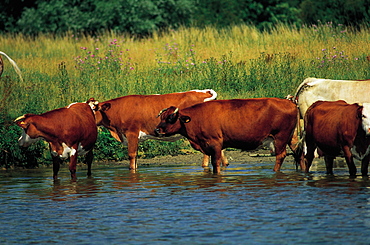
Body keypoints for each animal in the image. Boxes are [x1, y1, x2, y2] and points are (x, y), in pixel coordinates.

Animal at [155, 97, 302, 174]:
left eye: (171, 117)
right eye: (161, 117)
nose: (157, 130)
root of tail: (289, 102)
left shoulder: (215, 143)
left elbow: (216, 163)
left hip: (280, 137)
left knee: (281, 156)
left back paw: (275, 171)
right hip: (290, 138)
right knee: (299, 153)